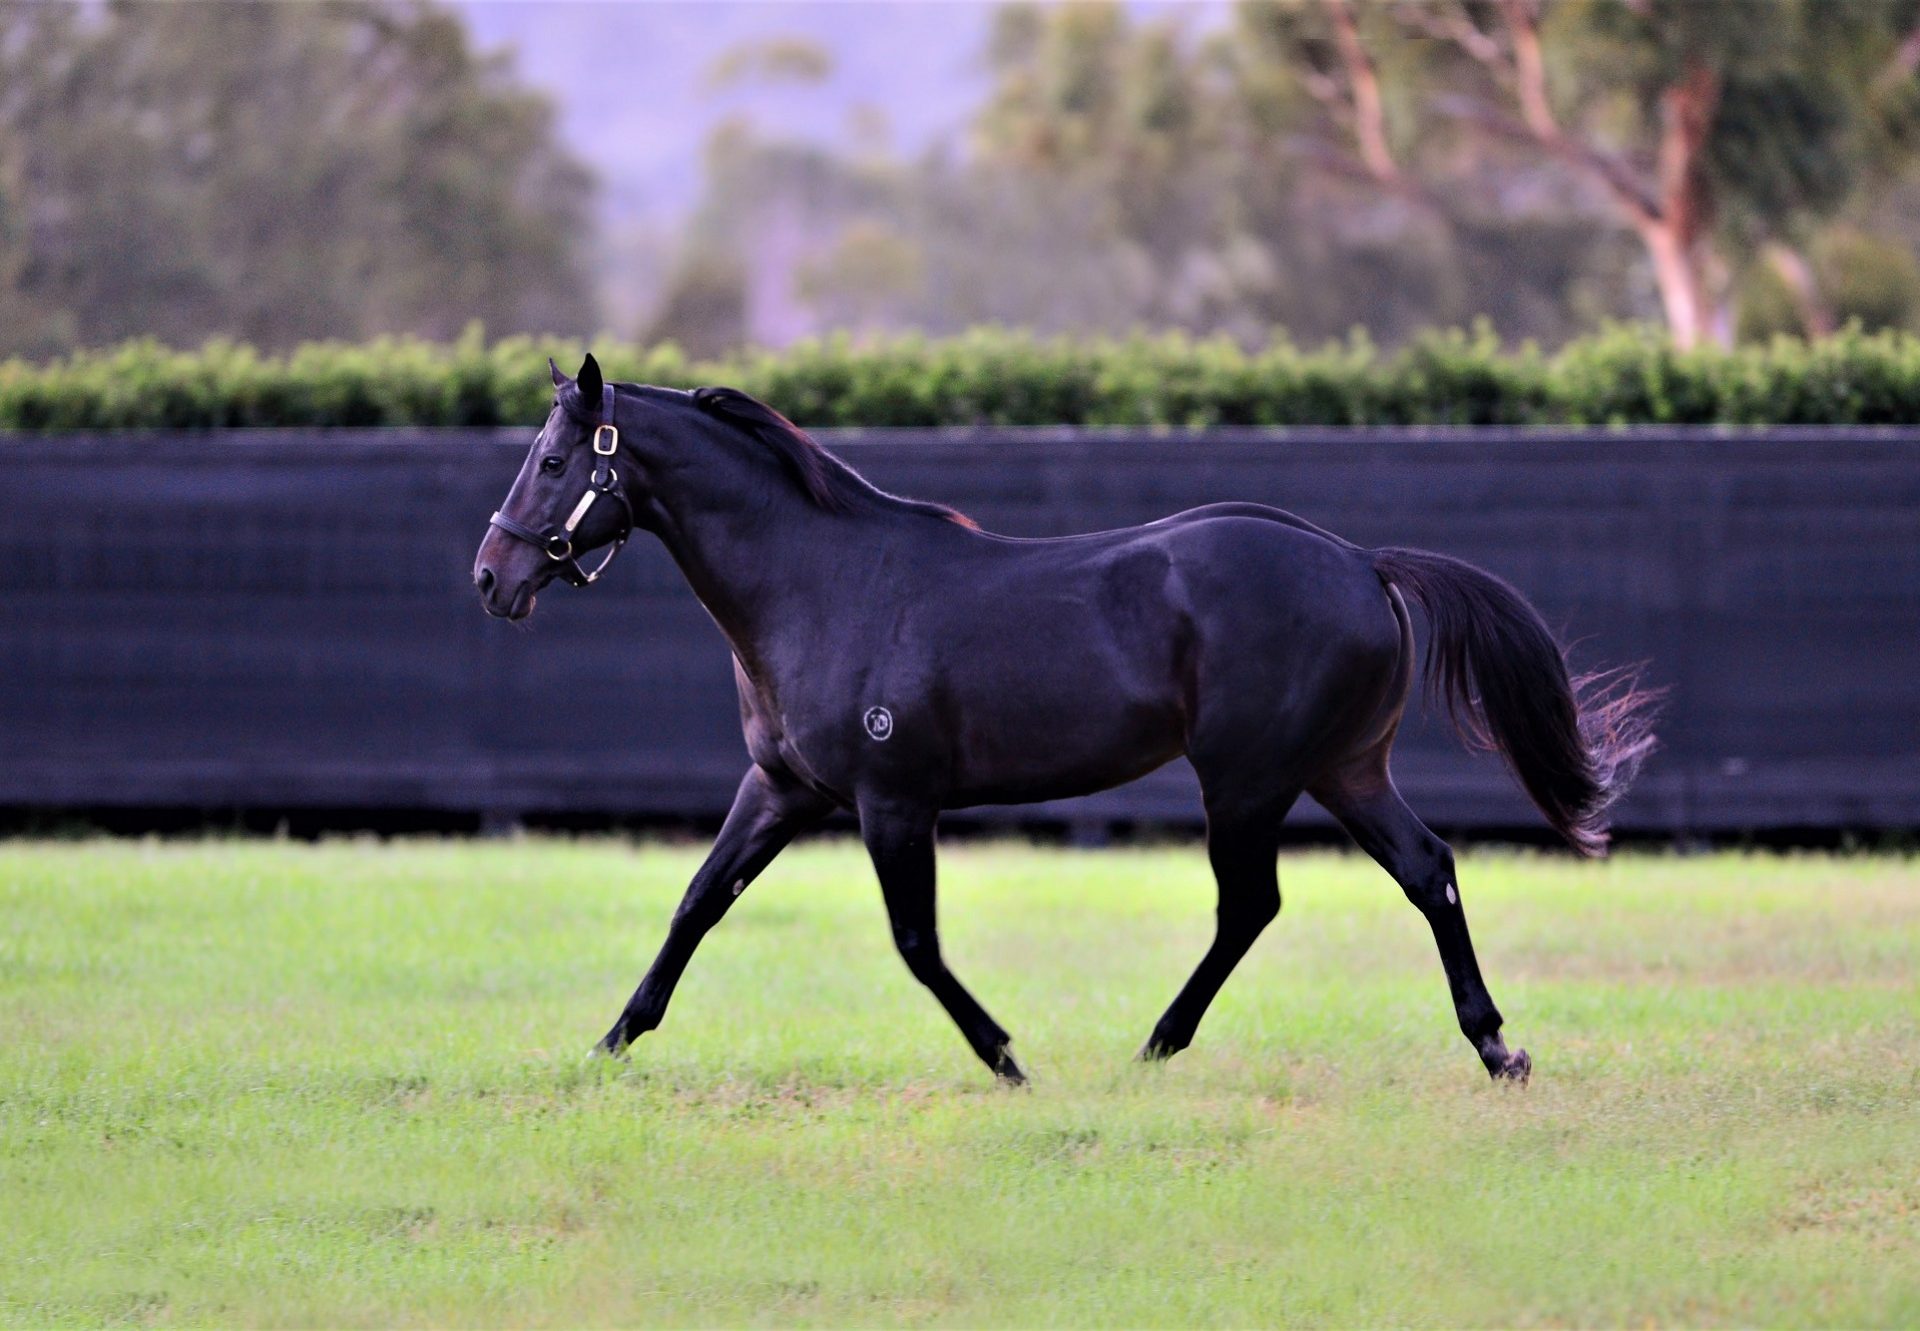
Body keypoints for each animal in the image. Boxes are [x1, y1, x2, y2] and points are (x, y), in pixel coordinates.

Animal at [472, 353, 1658, 1083]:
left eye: (553, 460)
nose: (491, 576)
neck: (825, 584)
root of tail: (1363, 561)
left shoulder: (892, 802)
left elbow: (915, 941)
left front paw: (1007, 1056)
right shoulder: (782, 788)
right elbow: (695, 904)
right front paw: (610, 1042)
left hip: (1248, 779)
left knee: (1253, 904)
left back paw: (1158, 1045)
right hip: (1343, 769)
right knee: (1426, 868)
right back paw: (1496, 1047)